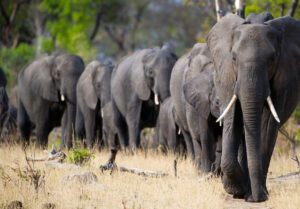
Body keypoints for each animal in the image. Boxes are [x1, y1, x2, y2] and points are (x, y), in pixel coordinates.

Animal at [207, 13, 300, 202]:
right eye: (234, 58)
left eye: (272, 60)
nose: (257, 198)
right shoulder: (228, 75)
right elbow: (233, 119)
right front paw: (237, 190)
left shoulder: (283, 78)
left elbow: (267, 125)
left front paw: (255, 196)